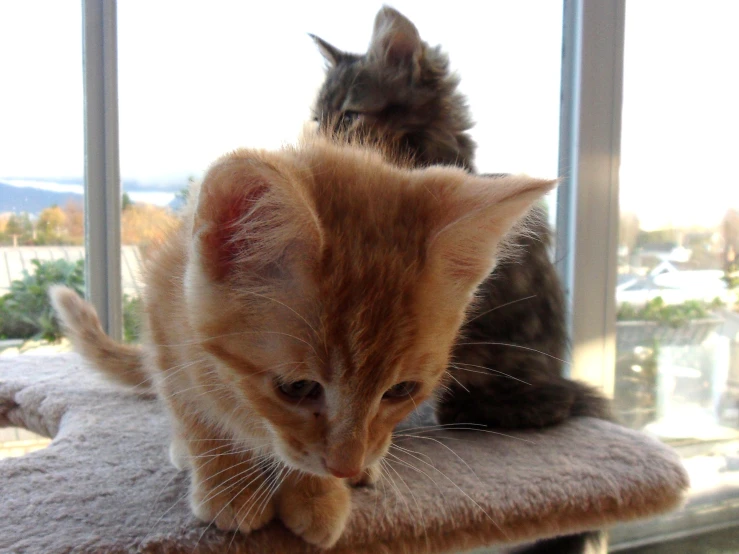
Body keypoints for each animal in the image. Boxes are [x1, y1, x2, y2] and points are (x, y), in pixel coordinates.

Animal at [52, 136, 556, 544]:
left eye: (401, 391)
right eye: (297, 388)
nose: (345, 466)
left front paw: (316, 493)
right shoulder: (164, 318)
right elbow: (193, 408)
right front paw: (228, 481)